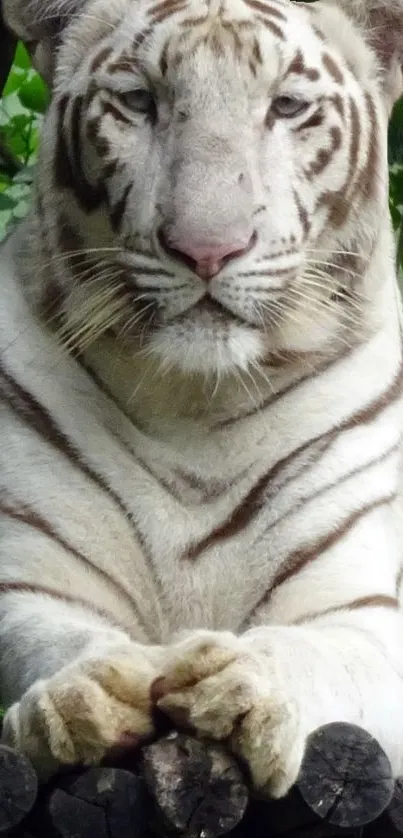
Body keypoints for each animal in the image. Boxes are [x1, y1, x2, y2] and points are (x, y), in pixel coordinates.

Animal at [0, 0, 403, 796]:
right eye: (138, 102)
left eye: (286, 106)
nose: (207, 249)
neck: (194, 409)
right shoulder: (26, 578)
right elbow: (45, 640)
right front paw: (80, 695)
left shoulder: (358, 608)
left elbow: (322, 654)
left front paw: (239, 684)